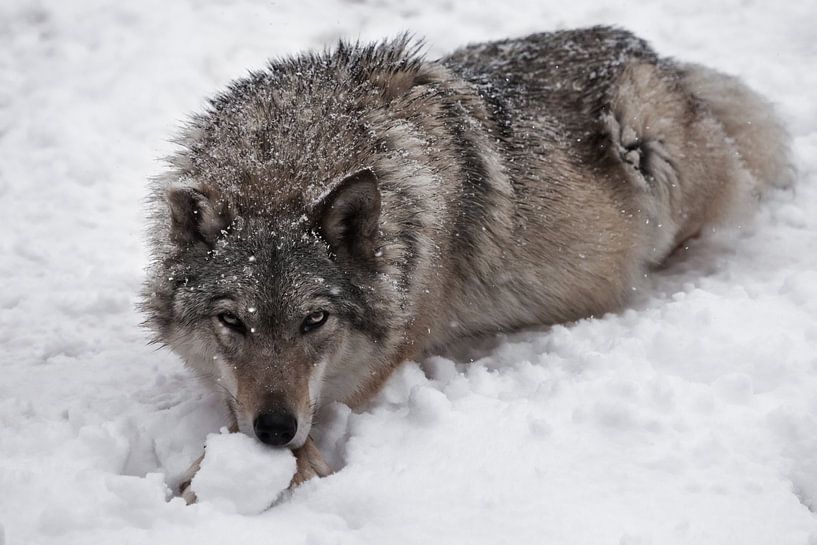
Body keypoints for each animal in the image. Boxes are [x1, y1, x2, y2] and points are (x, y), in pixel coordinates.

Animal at [142, 26, 791, 501]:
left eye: (315, 321)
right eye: (232, 322)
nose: (274, 429)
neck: (288, 164)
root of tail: (652, 51)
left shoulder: (366, 371)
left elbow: (300, 440)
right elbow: (233, 413)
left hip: (649, 145)